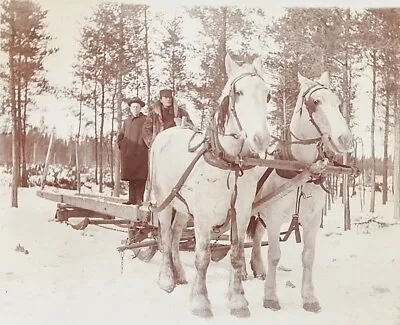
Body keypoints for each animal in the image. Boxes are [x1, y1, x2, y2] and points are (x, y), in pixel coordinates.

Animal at [147, 53, 272, 316]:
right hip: (163, 201)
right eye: (239, 93)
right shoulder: (204, 215)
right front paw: (200, 302)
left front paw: (238, 301)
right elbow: (202, 257)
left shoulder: (241, 212)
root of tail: (164, 135)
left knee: (175, 235)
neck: (229, 162)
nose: (261, 139)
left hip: (183, 207)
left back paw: (179, 274)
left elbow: (236, 254)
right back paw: (166, 279)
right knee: (165, 236)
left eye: (267, 95)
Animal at [247, 71, 356, 312]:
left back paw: (258, 268)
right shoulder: (275, 217)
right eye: (315, 102)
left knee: (256, 237)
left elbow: (308, 256)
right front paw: (270, 297)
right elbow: (275, 255)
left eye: (338, 103)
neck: (301, 170)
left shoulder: (313, 219)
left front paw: (309, 298)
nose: (345, 139)